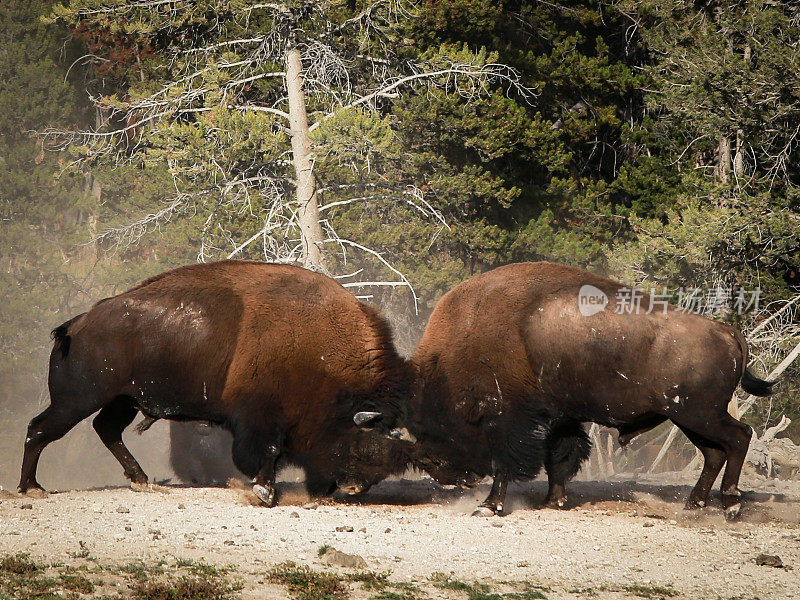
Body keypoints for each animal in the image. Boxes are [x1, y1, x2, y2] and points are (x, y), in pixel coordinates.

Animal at [18, 260, 412, 504]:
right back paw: (31, 488)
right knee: (40, 429)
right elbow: (268, 453)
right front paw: (264, 493)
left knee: (106, 429)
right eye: (362, 440)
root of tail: (77, 324)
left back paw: (142, 481)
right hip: (78, 399)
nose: (353, 487)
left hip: (123, 400)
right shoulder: (260, 420)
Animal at [410, 262, 772, 520]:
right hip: (687, 417)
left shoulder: (507, 422)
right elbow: (559, 458)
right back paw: (694, 505)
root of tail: (726, 331)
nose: (435, 467)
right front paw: (553, 501)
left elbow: (508, 464)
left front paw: (487, 506)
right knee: (714, 453)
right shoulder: (558, 419)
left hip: (700, 413)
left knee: (739, 437)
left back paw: (730, 504)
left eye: (434, 418)